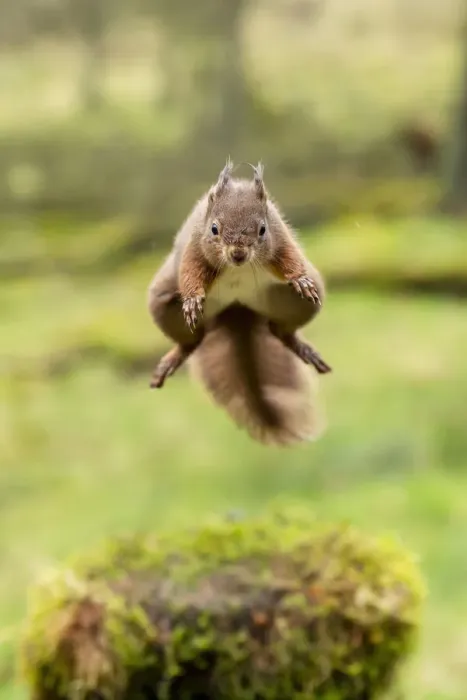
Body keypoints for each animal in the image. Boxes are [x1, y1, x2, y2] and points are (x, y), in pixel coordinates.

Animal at [147, 160, 331, 446]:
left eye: (262, 229)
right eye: (214, 228)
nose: (238, 254)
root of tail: (237, 308)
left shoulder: (280, 237)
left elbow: (290, 258)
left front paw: (300, 279)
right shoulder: (195, 246)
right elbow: (190, 272)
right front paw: (192, 298)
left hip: (298, 303)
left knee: (281, 330)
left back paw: (299, 345)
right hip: (163, 306)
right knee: (191, 341)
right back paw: (176, 356)